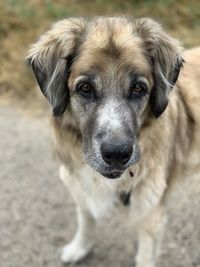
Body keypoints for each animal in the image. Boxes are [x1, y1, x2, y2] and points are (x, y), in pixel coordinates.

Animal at [27, 17, 200, 267]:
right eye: (85, 88)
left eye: (138, 88)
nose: (117, 154)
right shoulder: (79, 185)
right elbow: (86, 219)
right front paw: (79, 247)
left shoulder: (151, 214)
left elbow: (145, 256)